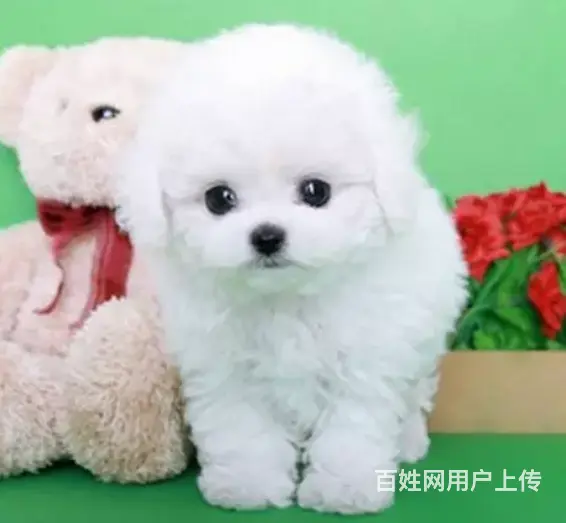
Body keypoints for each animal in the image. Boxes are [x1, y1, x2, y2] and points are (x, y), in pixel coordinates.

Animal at [116, 24, 468, 514]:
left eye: (316, 191)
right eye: (218, 198)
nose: (267, 236)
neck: (284, 299)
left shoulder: (367, 354)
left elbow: (353, 424)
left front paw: (346, 488)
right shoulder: (224, 365)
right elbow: (241, 427)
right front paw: (248, 484)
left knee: (414, 392)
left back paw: (410, 444)